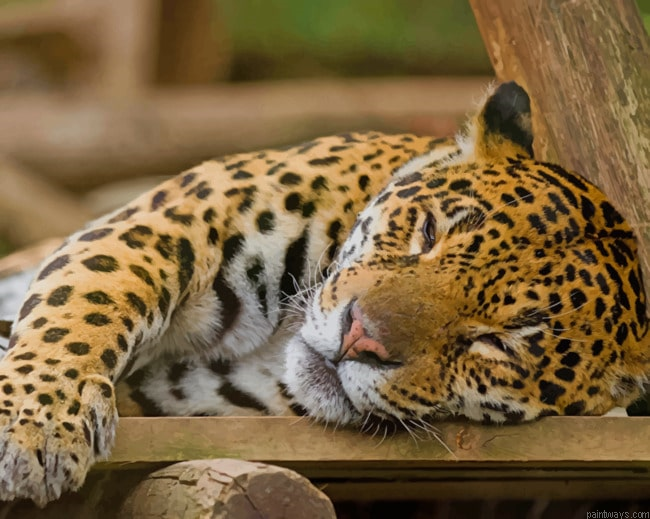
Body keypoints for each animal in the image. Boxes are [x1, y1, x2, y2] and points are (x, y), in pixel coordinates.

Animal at [0, 81, 648, 506]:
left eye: (497, 342)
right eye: (428, 233)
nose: (359, 337)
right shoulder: (176, 220)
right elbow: (84, 303)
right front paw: (33, 429)